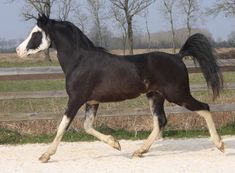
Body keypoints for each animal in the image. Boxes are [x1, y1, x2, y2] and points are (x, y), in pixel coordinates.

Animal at [16, 14, 224, 162]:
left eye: (36, 33)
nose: (18, 51)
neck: (80, 61)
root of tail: (178, 56)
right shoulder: (92, 101)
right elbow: (87, 126)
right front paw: (116, 144)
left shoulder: (75, 100)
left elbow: (62, 126)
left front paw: (45, 155)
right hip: (155, 96)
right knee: (160, 121)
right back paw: (139, 151)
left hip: (177, 94)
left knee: (204, 107)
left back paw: (220, 144)